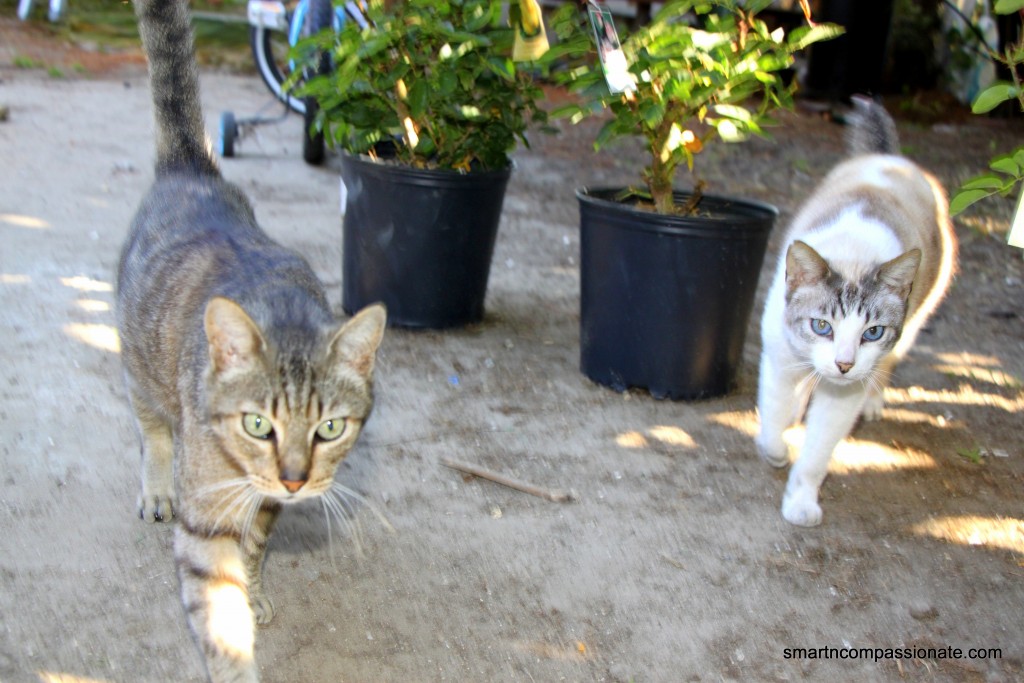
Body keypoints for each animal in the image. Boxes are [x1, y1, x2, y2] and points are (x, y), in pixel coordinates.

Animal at [116, 2, 385, 679]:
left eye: (330, 428)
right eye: (258, 424)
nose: (294, 480)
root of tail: (193, 167)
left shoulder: (263, 508)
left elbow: (255, 550)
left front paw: (256, 589)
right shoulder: (206, 523)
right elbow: (220, 620)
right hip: (137, 363)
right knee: (151, 428)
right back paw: (156, 484)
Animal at [757, 96, 954, 528]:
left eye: (872, 332)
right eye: (821, 326)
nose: (844, 364)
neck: (854, 253)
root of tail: (890, 156)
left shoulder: (844, 394)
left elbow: (816, 455)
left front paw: (800, 503)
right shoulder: (779, 357)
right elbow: (772, 418)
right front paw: (775, 449)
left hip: (918, 318)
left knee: (889, 365)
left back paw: (873, 402)